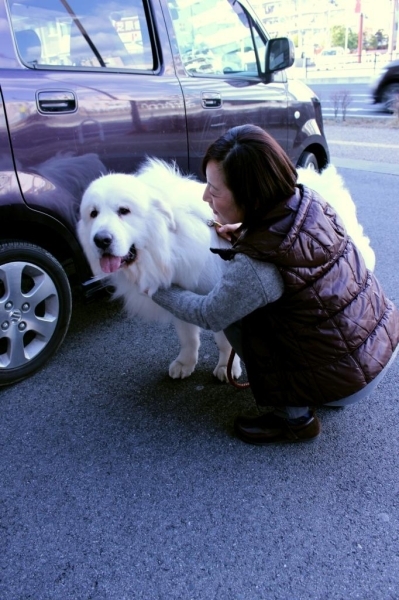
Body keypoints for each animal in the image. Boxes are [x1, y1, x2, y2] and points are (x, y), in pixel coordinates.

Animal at [78, 161, 376, 380]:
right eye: (93, 214)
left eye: (124, 211)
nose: (100, 240)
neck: (168, 240)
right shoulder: (182, 292)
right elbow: (187, 337)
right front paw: (185, 363)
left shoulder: (219, 298)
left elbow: (223, 341)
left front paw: (226, 368)